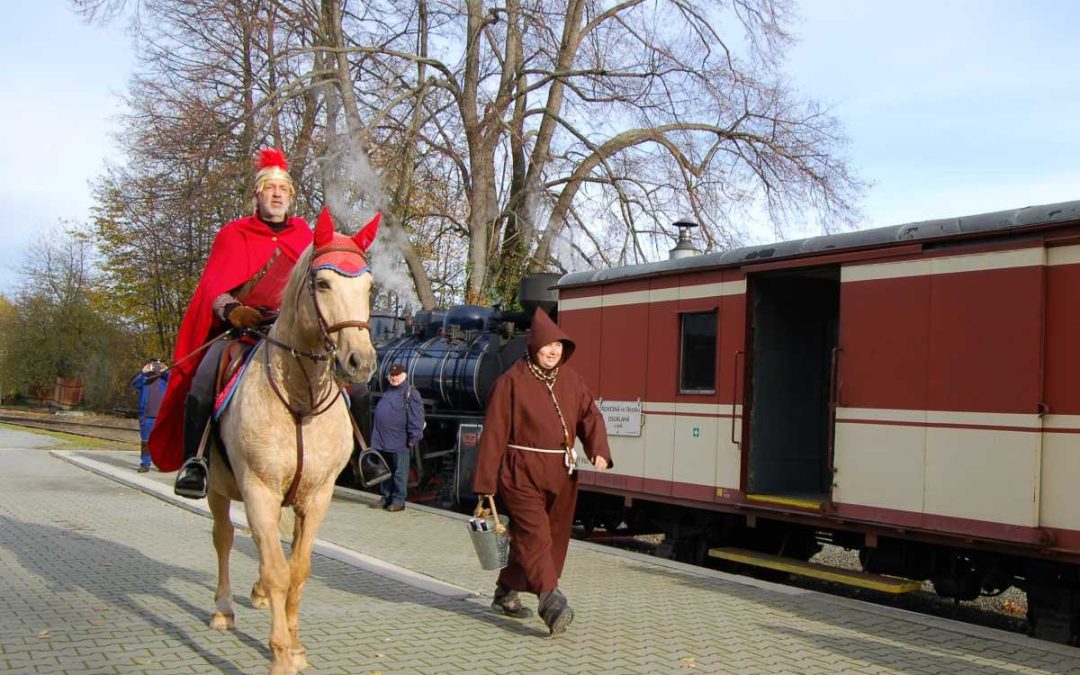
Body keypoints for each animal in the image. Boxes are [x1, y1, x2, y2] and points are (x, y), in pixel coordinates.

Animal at [203, 206, 380, 673]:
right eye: (323, 283)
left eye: (370, 287)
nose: (360, 362)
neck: (301, 399)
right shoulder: (259, 489)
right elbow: (277, 569)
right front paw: (281, 653)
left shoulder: (316, 497)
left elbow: (297, 569)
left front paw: (296, 645)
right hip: (218, 489)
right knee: (224, 537)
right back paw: (224, 609)